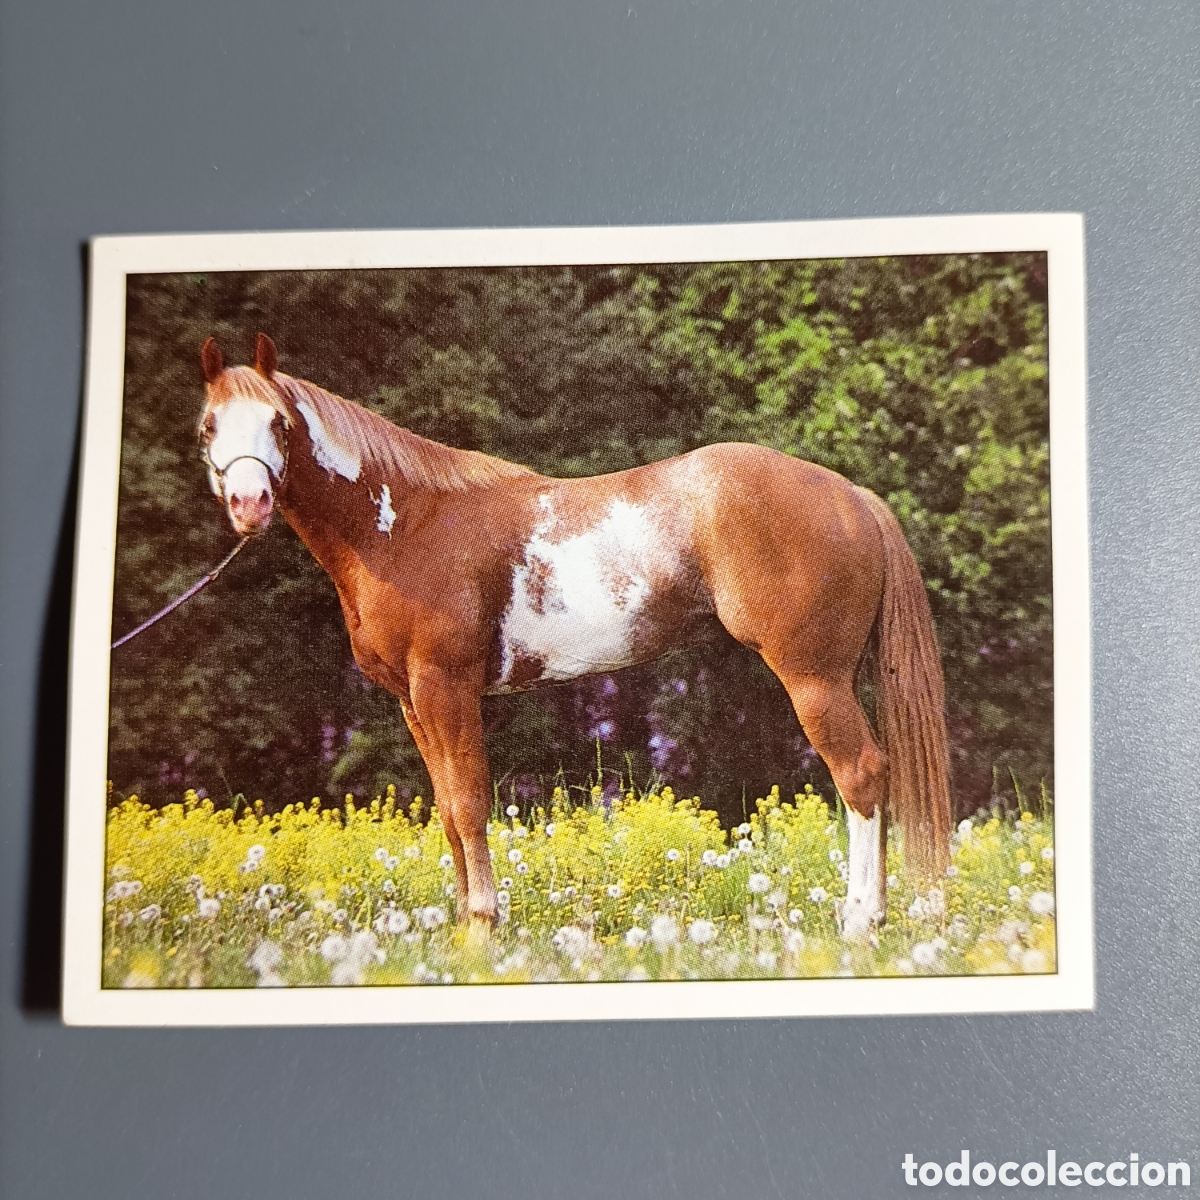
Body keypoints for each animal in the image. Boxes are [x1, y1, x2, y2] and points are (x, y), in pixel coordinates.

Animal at [196, 333, 951, 941]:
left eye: (278, 422)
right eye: (209, 425)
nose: (248, 504)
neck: (406, 524)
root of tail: (852, 497)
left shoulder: (446, 687)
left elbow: (470, 804)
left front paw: (481, 931)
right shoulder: (412, 699)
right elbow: (446, 812)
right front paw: (461, 927)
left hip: (814, 678)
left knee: (860, 776)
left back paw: (859, 923)